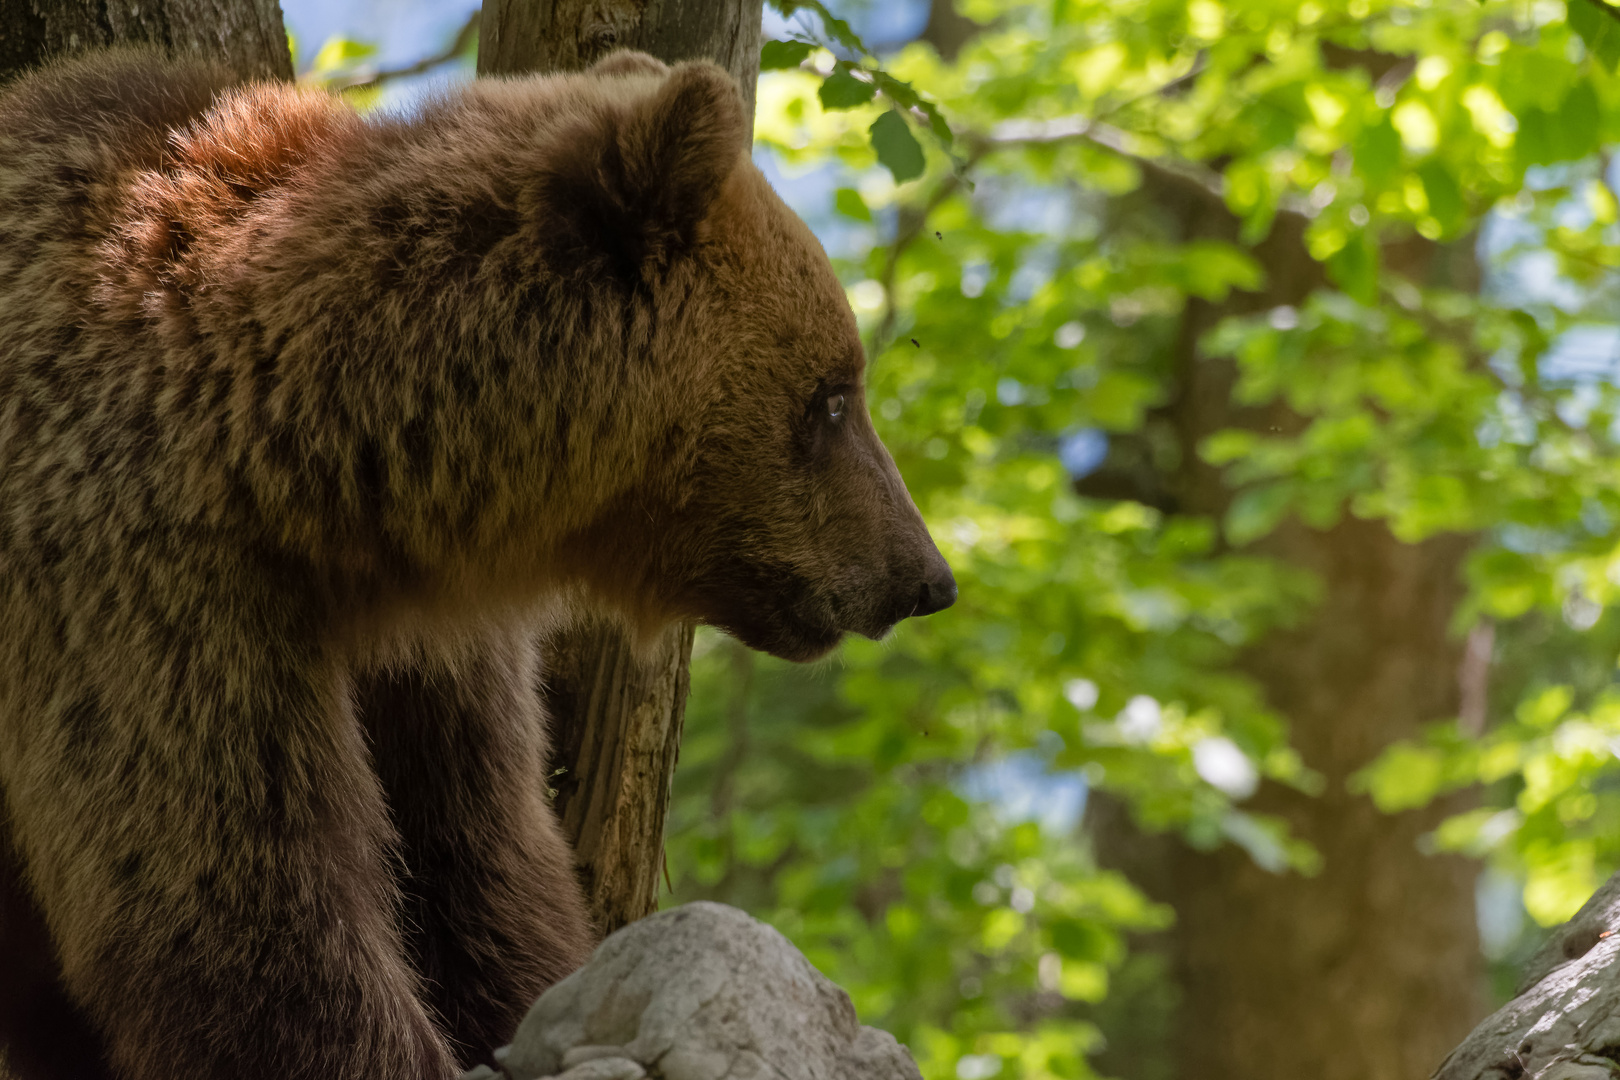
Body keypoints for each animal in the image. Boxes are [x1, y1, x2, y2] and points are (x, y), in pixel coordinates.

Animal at [0, 46, 946, 1080]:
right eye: (833, 395)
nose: (924, 577)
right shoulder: (139, 572)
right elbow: (239, 904)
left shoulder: (433, 651)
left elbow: (483, 867)